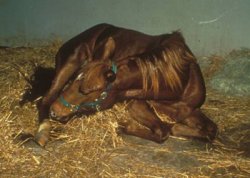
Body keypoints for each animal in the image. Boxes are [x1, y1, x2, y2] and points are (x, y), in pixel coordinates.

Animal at [33, 23, 217, 146]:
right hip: (71, 62)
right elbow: (163, 130)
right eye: (74, 82)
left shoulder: (189, 109)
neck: (180, 81)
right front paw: (124, 125)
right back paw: (43, 132)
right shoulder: (135, 104)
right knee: (46, 98)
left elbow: (211, 130)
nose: (55, 112)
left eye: (88, 91)